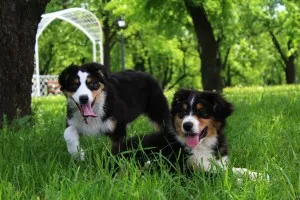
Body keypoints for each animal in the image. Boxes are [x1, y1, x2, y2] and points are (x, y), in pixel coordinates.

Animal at [112, 90, 268, 179]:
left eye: (202, 112)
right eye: (182, 113)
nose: (187, 125)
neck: (202, 146)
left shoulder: (218, 163)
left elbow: (235, 170)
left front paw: (259, 175)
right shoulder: (184, 171)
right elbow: (218, 176)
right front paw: (241, 182)